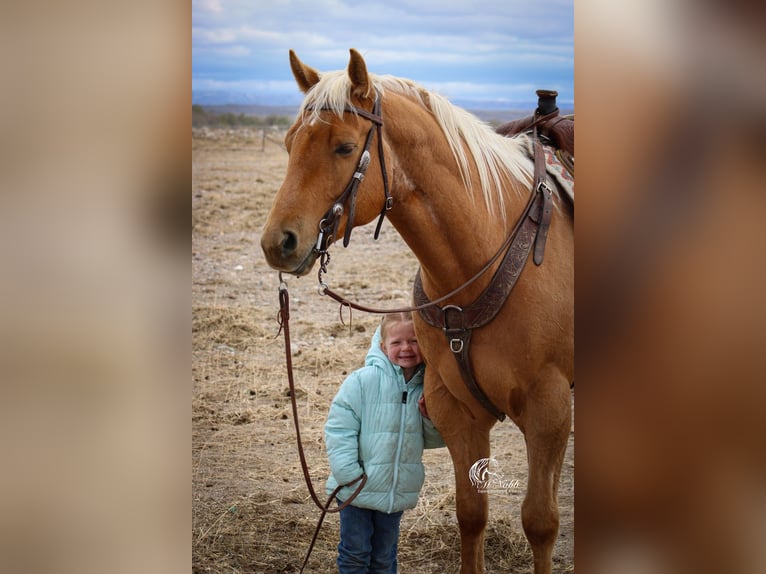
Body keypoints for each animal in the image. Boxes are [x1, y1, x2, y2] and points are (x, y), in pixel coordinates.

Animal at [260, 49, 573, 574]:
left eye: (345, 147)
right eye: (288, 144)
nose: (277, 243)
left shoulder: (549, 408)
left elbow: (541, 522)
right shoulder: (455, 407)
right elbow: (472, 513)